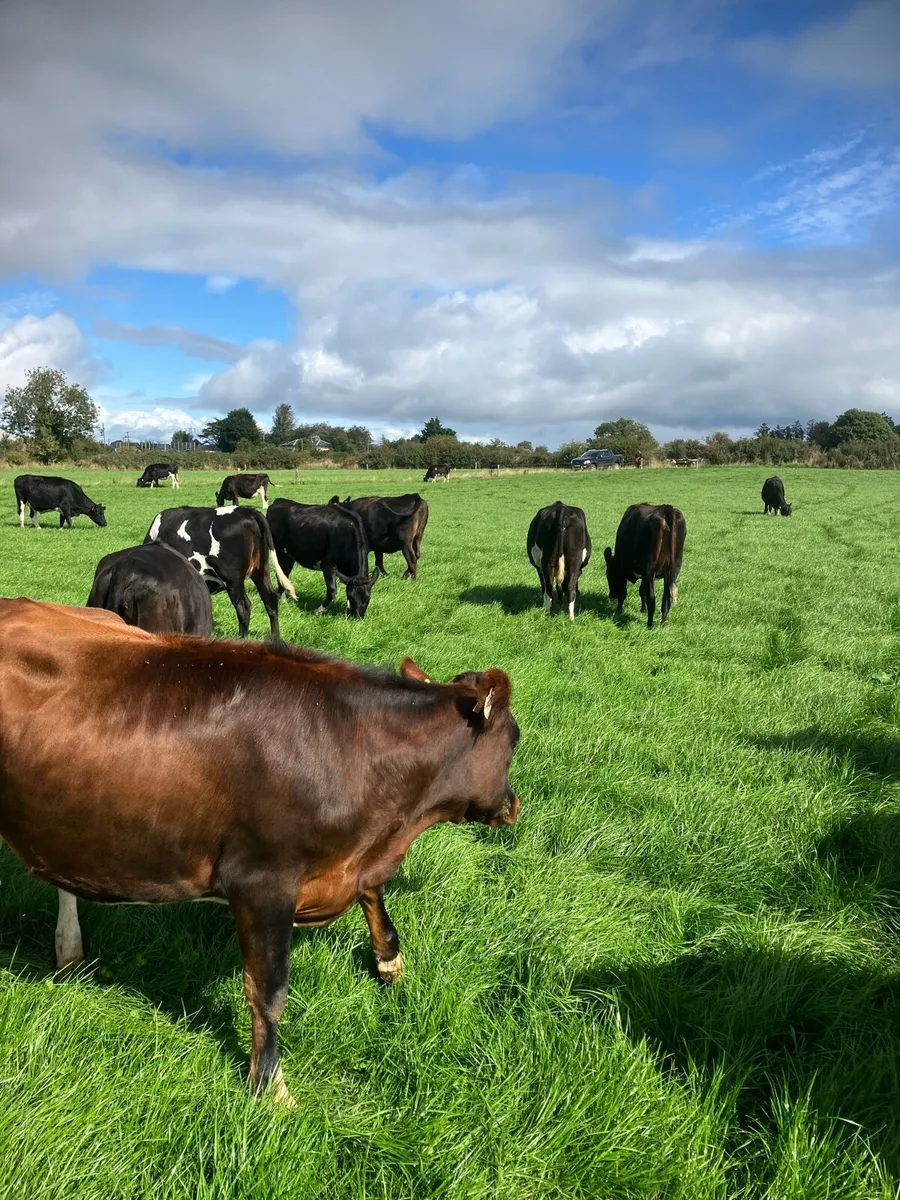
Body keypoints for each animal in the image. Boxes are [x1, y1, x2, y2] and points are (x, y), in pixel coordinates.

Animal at [0, 598, 520, 1104]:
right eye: (514, 741)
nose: (513, 805)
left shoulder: (350, 860)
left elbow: (374, 893)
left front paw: (389, 960)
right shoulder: (262, 882)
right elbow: (268, 990)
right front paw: (271, 1087)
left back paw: (69, 950)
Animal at [144, 505, 296, 639]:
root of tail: (247, 511)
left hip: (233, 579)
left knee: (244, 607)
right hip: (261, 571)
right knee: (270, 600)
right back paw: (275, 639)